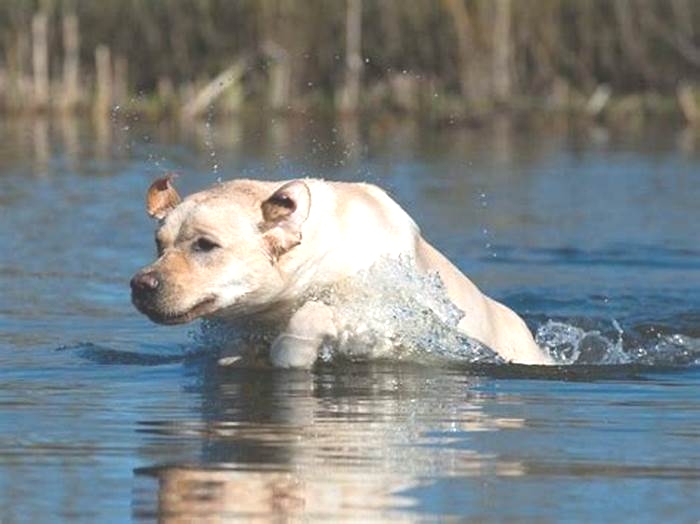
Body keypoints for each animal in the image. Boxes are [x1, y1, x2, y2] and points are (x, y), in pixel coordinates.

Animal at [131, 175, 552, 364]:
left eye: (205, 244)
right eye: (159, 244)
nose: (141, 284)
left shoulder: (389, 316)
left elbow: (313, 316)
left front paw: (291, 353)